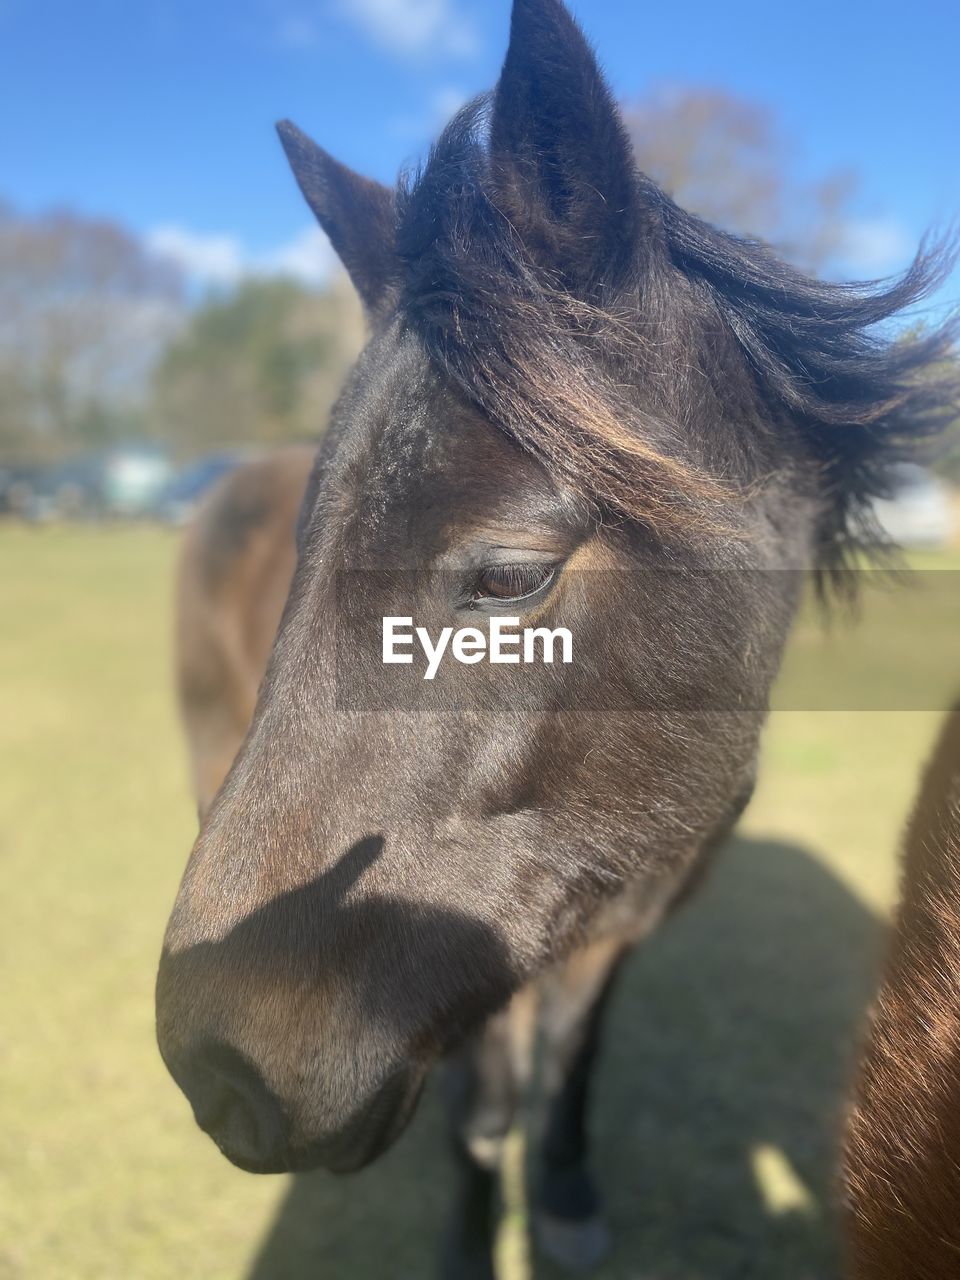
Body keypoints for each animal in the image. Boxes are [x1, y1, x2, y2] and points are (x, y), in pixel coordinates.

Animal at [154, 5, 957, 1274]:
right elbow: (484, 1109)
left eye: (511, 575)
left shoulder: (609, 921)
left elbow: (575, 1063)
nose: (219, 1071)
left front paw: (568, 1194)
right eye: (304, 545)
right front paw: (469, 1233)